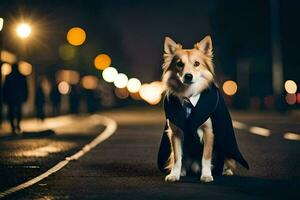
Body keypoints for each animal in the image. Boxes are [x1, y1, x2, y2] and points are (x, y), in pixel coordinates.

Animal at [157, 35, 248, 182]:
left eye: (197, 64)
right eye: (179, 64)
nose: (188, 76)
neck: (188, 95)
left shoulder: (209, 133)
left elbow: (205, 157)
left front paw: (206, 175)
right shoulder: (175, 133)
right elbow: (177, 158)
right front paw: (174, 174)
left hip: (227, 153)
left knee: (228, 160)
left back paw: (226, 171)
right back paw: (183, 171)